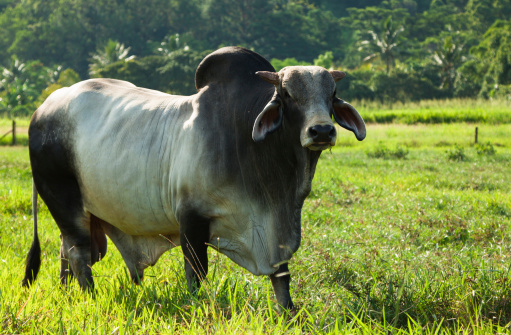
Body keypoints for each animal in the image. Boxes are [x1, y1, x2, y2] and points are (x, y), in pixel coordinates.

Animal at [22, 46, 366, 310]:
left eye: (333, 94)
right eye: (286, 94)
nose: (321, 131)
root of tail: (43, 108)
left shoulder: (275, 232)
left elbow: (281, 277)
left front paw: (287, 313)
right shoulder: (191, 218)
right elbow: (195, 274)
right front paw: (197, 307)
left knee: (66, 251)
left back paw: (68, 295)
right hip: (65, 202)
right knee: (78, 254)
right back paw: (90, 298)